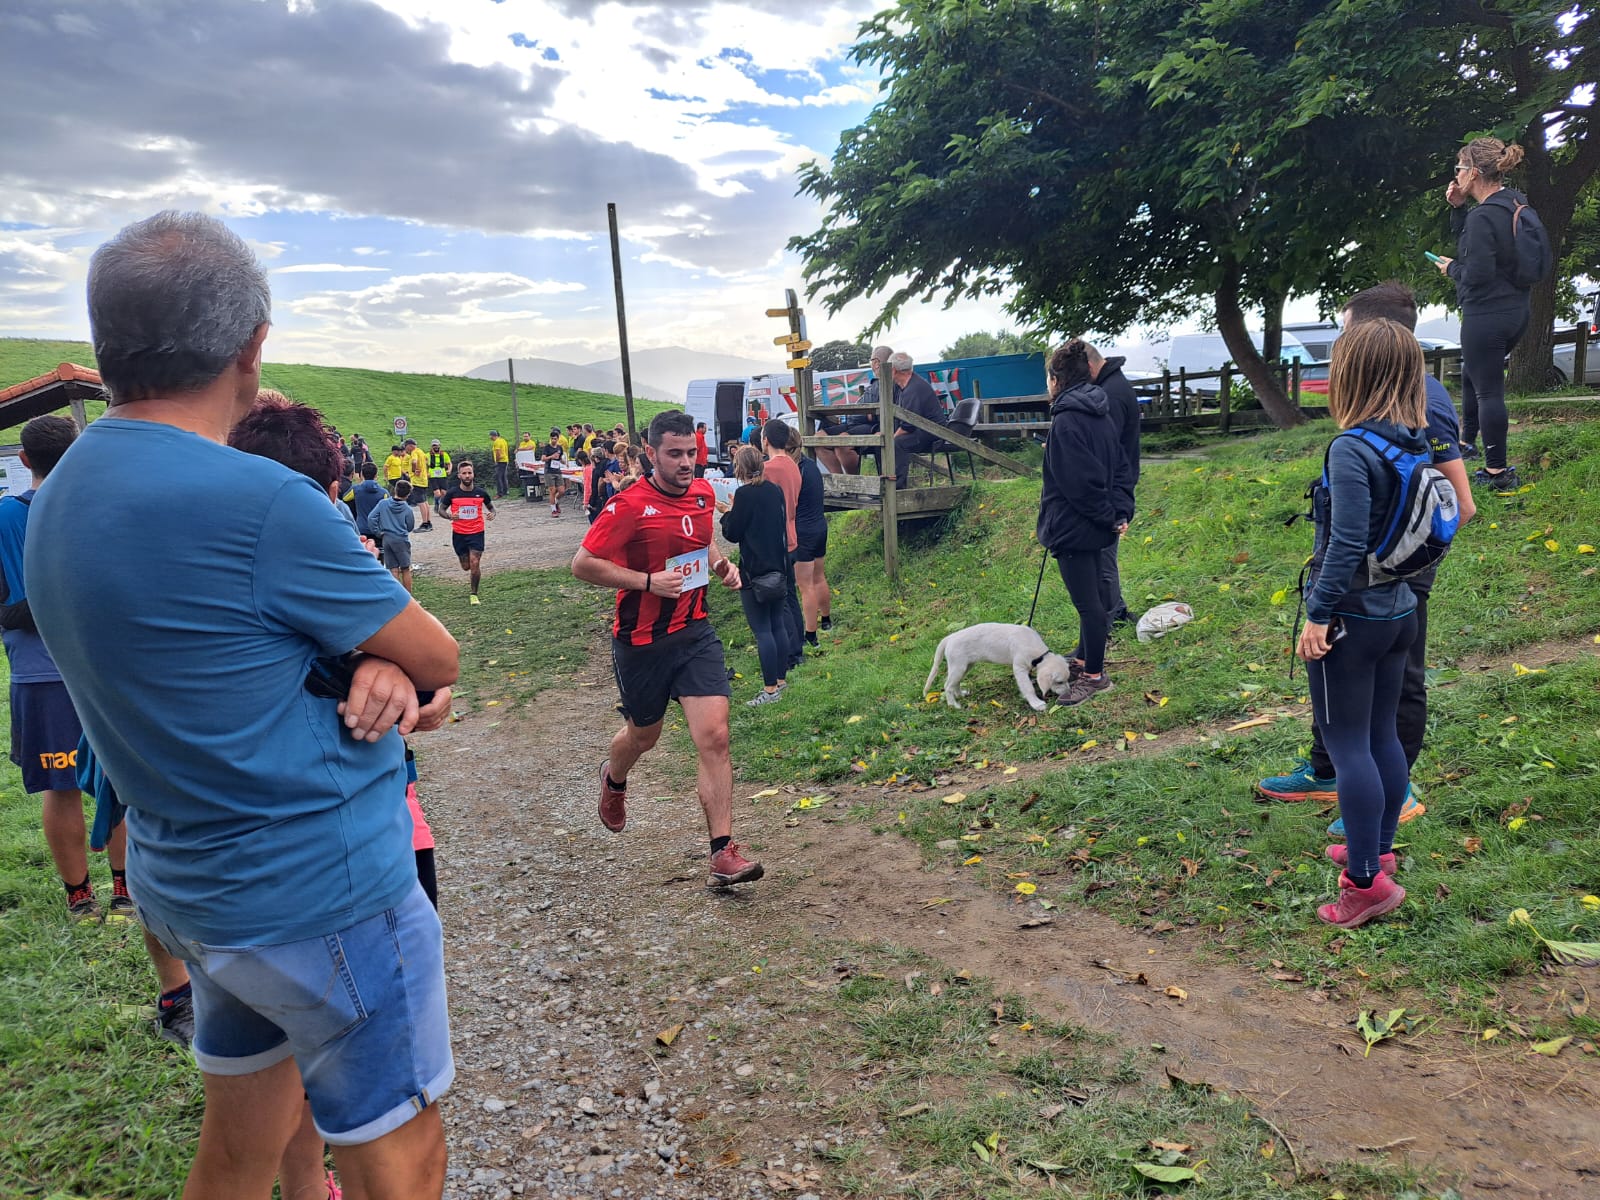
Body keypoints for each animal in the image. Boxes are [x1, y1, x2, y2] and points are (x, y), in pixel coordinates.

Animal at [928, 624, 1075, 710]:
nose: (1068, 693)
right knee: (947, 686)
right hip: (958, 666)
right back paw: (953, 704)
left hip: (965, 666)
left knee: (955, 683)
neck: (1038, 653)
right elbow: (1028, 688)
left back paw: (961, 694)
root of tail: (950, 638)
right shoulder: (1019, 668)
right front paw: (1036, 703)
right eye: (1059, 682)